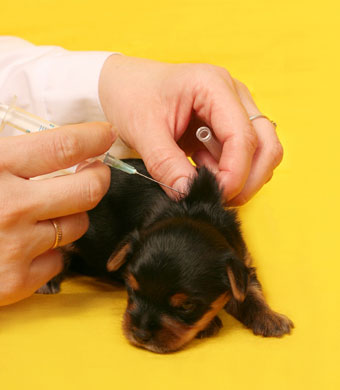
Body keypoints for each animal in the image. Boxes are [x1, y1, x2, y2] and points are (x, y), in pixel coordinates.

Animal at [41, 158, 294, 354]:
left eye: (186, 306)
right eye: (131, 289)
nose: (140, 335)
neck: (196, 213)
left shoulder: (242, 261)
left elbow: (250, 291)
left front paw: (270, 318)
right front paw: (209, 324)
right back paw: (48, 281)